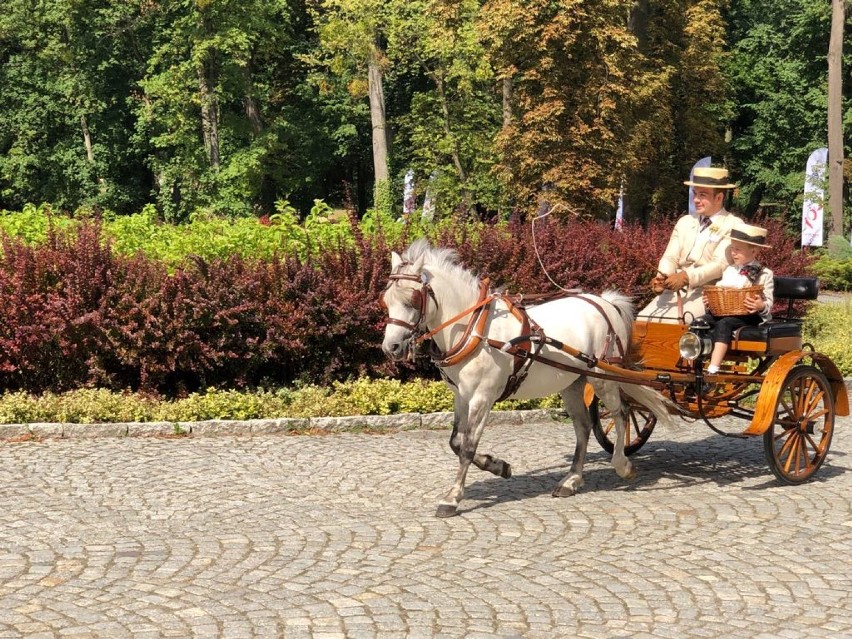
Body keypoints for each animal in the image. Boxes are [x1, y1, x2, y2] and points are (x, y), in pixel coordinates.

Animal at [382, 240, 672, 520]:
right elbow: (455, 441)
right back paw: (572, 480)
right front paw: (498, 466)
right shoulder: (461, 396)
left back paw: (622, 465)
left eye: (411, 299)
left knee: (621, 414)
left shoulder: (482, 397)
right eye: (386, 300)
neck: (475, 328)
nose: (391, 347)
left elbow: (467, 447)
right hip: (572, 382)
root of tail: (605, 302)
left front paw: (452, 498)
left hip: (603, 377)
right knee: (583, 426)